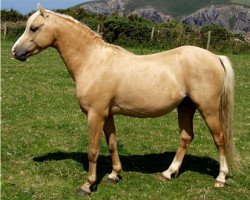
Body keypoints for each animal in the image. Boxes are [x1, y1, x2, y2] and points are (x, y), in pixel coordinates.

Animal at [11, 4, 240, 195]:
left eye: (34, 28)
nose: (15, 52)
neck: (93, 61)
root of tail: (215, 57)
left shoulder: (95, 115)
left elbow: (93, 150)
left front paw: (87, 185)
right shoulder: (107, 114)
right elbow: (112, 143)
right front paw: (114, 175)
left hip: (208, 109)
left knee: (219, 138)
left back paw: (220, 178)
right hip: (186, 107)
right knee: (186, 138)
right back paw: (168, 173)